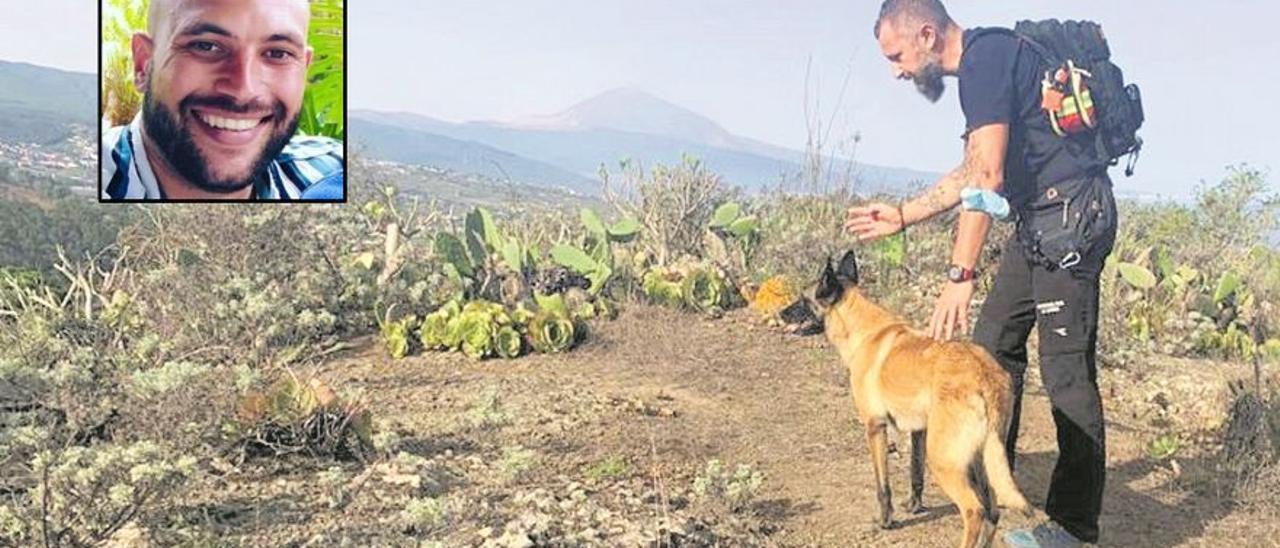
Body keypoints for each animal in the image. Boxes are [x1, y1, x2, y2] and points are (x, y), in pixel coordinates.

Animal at [814, 250, 1034, 548]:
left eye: (803, 298)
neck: (866, 328)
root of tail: (984, 376)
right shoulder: (919, 430)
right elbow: (914, 473)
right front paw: (915, 506)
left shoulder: (875, 427)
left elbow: (883, 486)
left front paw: (886, 521)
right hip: (982, 458)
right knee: (992, 510)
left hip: (944, 461)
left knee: (974, 509)